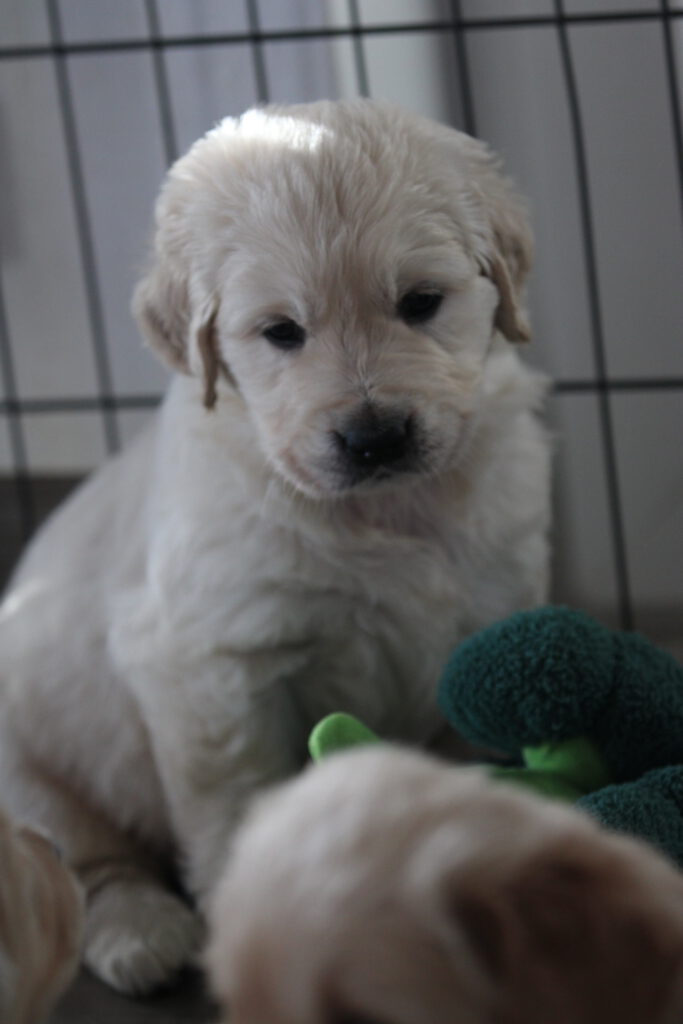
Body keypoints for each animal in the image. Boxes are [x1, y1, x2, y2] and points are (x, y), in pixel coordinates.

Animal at [0, 99, 550, 995]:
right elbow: (235, 802)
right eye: (282, 332)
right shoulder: (208, 666)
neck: (383, 510)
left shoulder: (492, 612)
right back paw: (142, 932)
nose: (374, 437)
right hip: (31, 771)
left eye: (420, 302)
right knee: (83, 867)